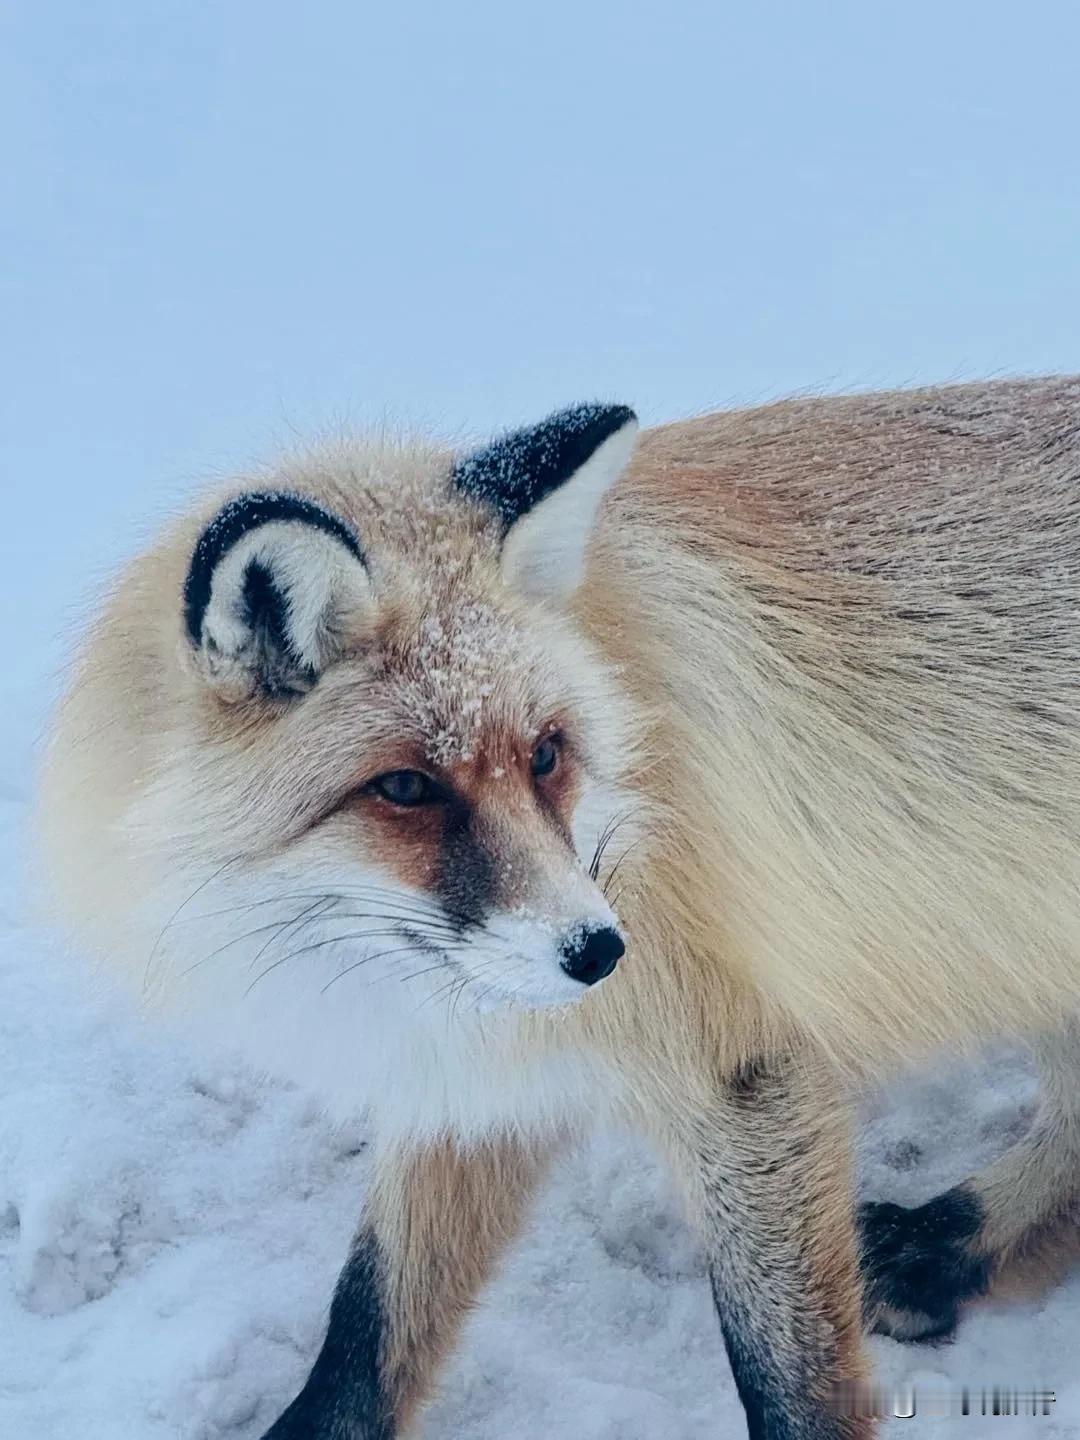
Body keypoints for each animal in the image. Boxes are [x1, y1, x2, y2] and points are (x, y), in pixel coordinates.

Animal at [33, 380, 1080, 1440]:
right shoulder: (473, 1076)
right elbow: (369, 1324)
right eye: (406, 787)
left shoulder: (734, 1070)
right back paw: (956, 1247)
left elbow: (791, 1382)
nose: (599, 952)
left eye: (545, 753)